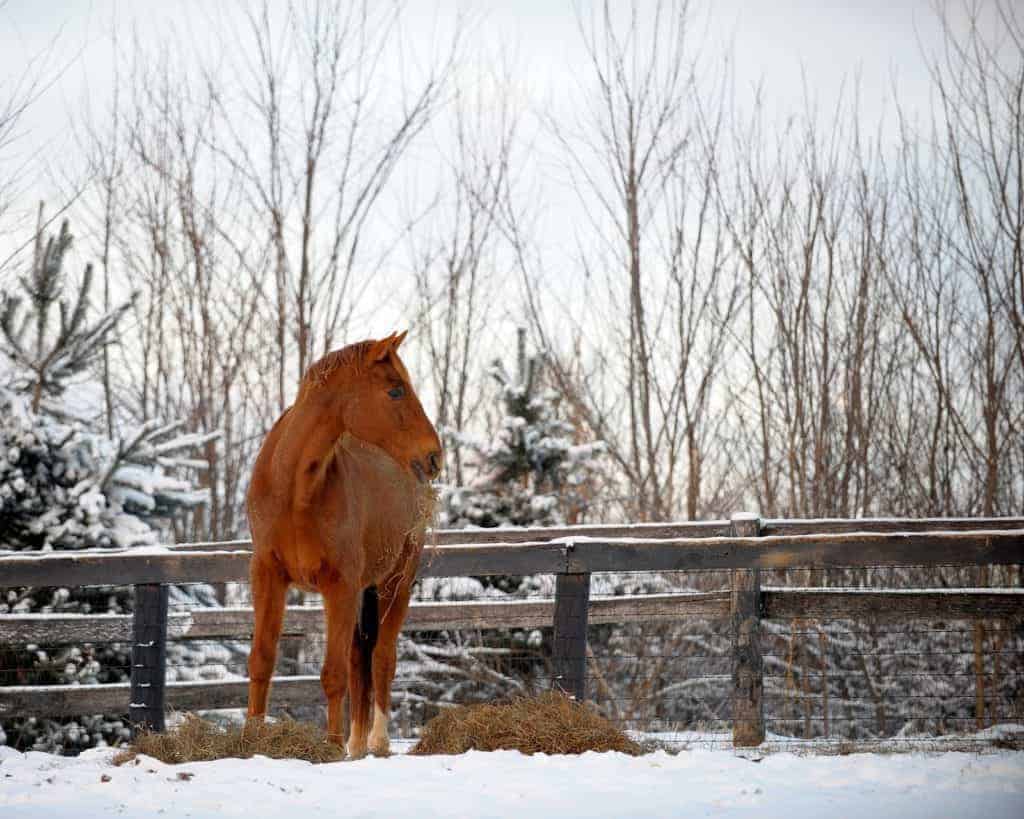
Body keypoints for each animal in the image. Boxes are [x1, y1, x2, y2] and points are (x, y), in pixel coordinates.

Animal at [245, 331, 442, 758]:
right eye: (396, 390)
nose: (435, 456)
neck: (296, 489)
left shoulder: (339, 585)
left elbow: (332, 673)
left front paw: (331, 748)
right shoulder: (268, 575)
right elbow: (262, 660)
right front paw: (249, 740)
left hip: (395, 584)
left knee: (381, 658)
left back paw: (377, 741)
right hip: (362, 593)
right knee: (359, 659)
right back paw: (356, 743)